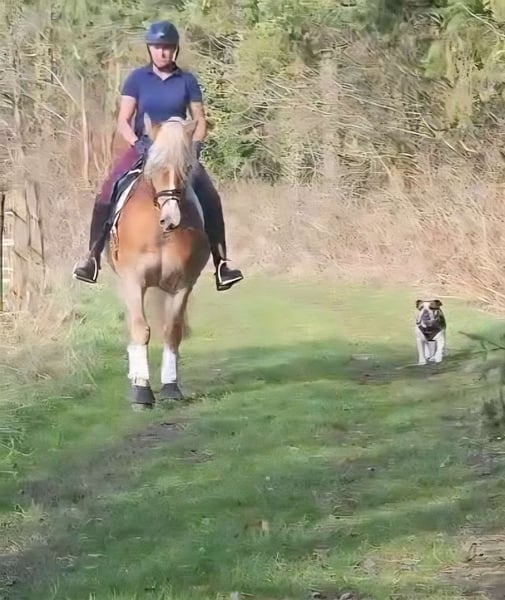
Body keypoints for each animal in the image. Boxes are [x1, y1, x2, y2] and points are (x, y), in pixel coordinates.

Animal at [106, 114, 210, 410]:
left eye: (187, 167)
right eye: (155, 167)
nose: (171, 219)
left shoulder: (182, 284)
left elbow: (172, 332)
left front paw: (171, 388)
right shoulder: (133, 281)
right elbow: (141, 330)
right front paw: (142, 392)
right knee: (133, 326)